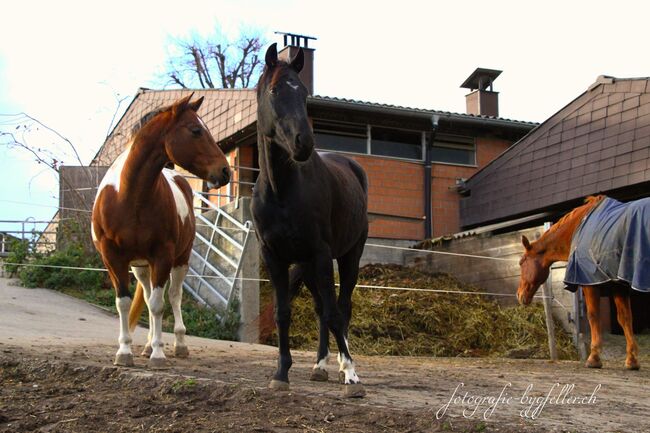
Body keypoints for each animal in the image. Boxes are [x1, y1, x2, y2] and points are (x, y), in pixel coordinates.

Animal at [91, 95, 230, 368]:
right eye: (196, 130)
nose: (225, 171)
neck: (129, 196)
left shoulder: (163, 256)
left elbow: (158, 304)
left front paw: (158, 354)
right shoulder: (113, 258)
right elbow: (123, 303)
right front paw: (125, 352)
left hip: (179, 261)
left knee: (174, 296)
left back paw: (178, 344)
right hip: (141, 266)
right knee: (146, 297)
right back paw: (145, 346)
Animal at [251, 42, 368, 396]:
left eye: (303, 93)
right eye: (274, 90)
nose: (303, 143)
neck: (282, 192)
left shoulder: (320, 253)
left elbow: (334, 312)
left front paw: (352, 376)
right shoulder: (274, 256)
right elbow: (283, 312)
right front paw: (281, 374)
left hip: (348, 256)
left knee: (341, 307)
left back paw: (342, 366)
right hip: (308, 263)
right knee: (320, 310)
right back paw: (319, 366)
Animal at [520, 195, 640, 368]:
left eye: (521, 262)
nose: (519, 295)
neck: (578, 227)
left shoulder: (590, 283)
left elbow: (593, 316)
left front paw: (594, 358)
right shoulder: (618, 284)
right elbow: (625, 318)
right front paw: (632, 360)